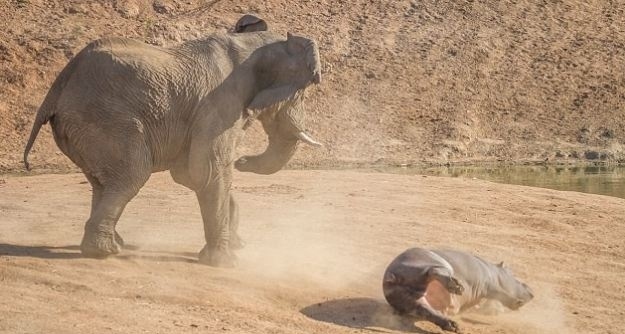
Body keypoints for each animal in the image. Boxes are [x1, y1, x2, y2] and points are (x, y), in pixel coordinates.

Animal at [20, 15, 322, 268]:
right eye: (300, 94)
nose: (243, 161)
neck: (253, 43)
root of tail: (59, 86)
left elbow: (191, 173)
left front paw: (237, 245)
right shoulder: (220, 104)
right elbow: (207, 170)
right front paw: (225, 263)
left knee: (103, 181)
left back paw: (114, 244)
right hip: (105, 121)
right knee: (131, 176)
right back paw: (103, 252)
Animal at [382, 247, 532, 332]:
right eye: (513, 275)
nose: (531, 291)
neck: (494, 271)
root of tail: (392, 275)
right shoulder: (487, 284)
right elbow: (499, 292)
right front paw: (517, 303)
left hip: (412, 300)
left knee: (428, 311)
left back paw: (452, 325)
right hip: (432, 261)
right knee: (433, 271)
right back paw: (456, 286)